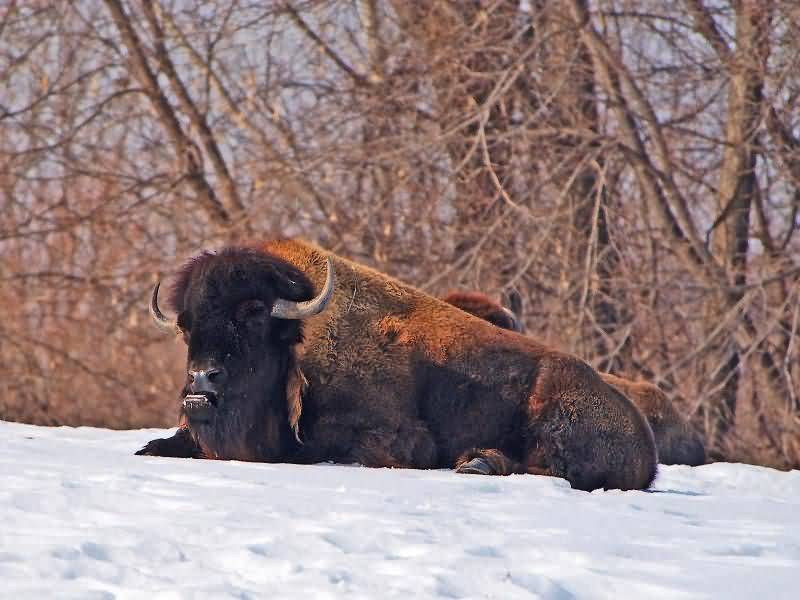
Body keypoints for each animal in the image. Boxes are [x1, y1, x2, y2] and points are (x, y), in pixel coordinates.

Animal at [138, 239, 656, 492]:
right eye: (186, 326)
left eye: (253, 314)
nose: (201, 381)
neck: (296, 341)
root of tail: (646, 446)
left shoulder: (401, 439)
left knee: (548, 468)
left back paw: (478, 464)